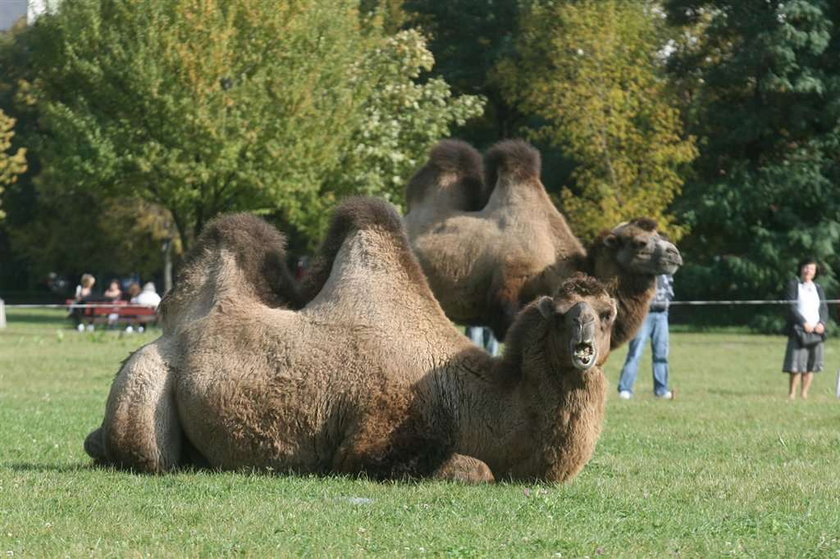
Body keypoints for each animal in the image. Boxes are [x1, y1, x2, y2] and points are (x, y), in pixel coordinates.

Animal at [85, 199, 616, 484]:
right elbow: (477, 468)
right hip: (146, 377)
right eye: (565, 315)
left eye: (607, 314)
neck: (470, 395)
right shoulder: (369, 445)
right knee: (141, 453)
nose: (584, 347)